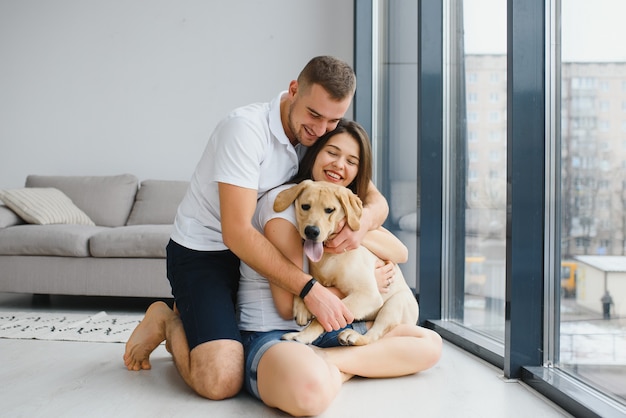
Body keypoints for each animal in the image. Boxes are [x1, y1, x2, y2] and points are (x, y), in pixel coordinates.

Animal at [272, 180, 420, 346]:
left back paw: (353, 336)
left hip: (395, 304)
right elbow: (309, 282)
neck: (328, 256)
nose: (311, 231)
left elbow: (326, 316)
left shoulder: (367, 295)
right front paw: (302, 308)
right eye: (305, 206)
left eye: (329, 210)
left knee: (374, 335)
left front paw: (304, 335)